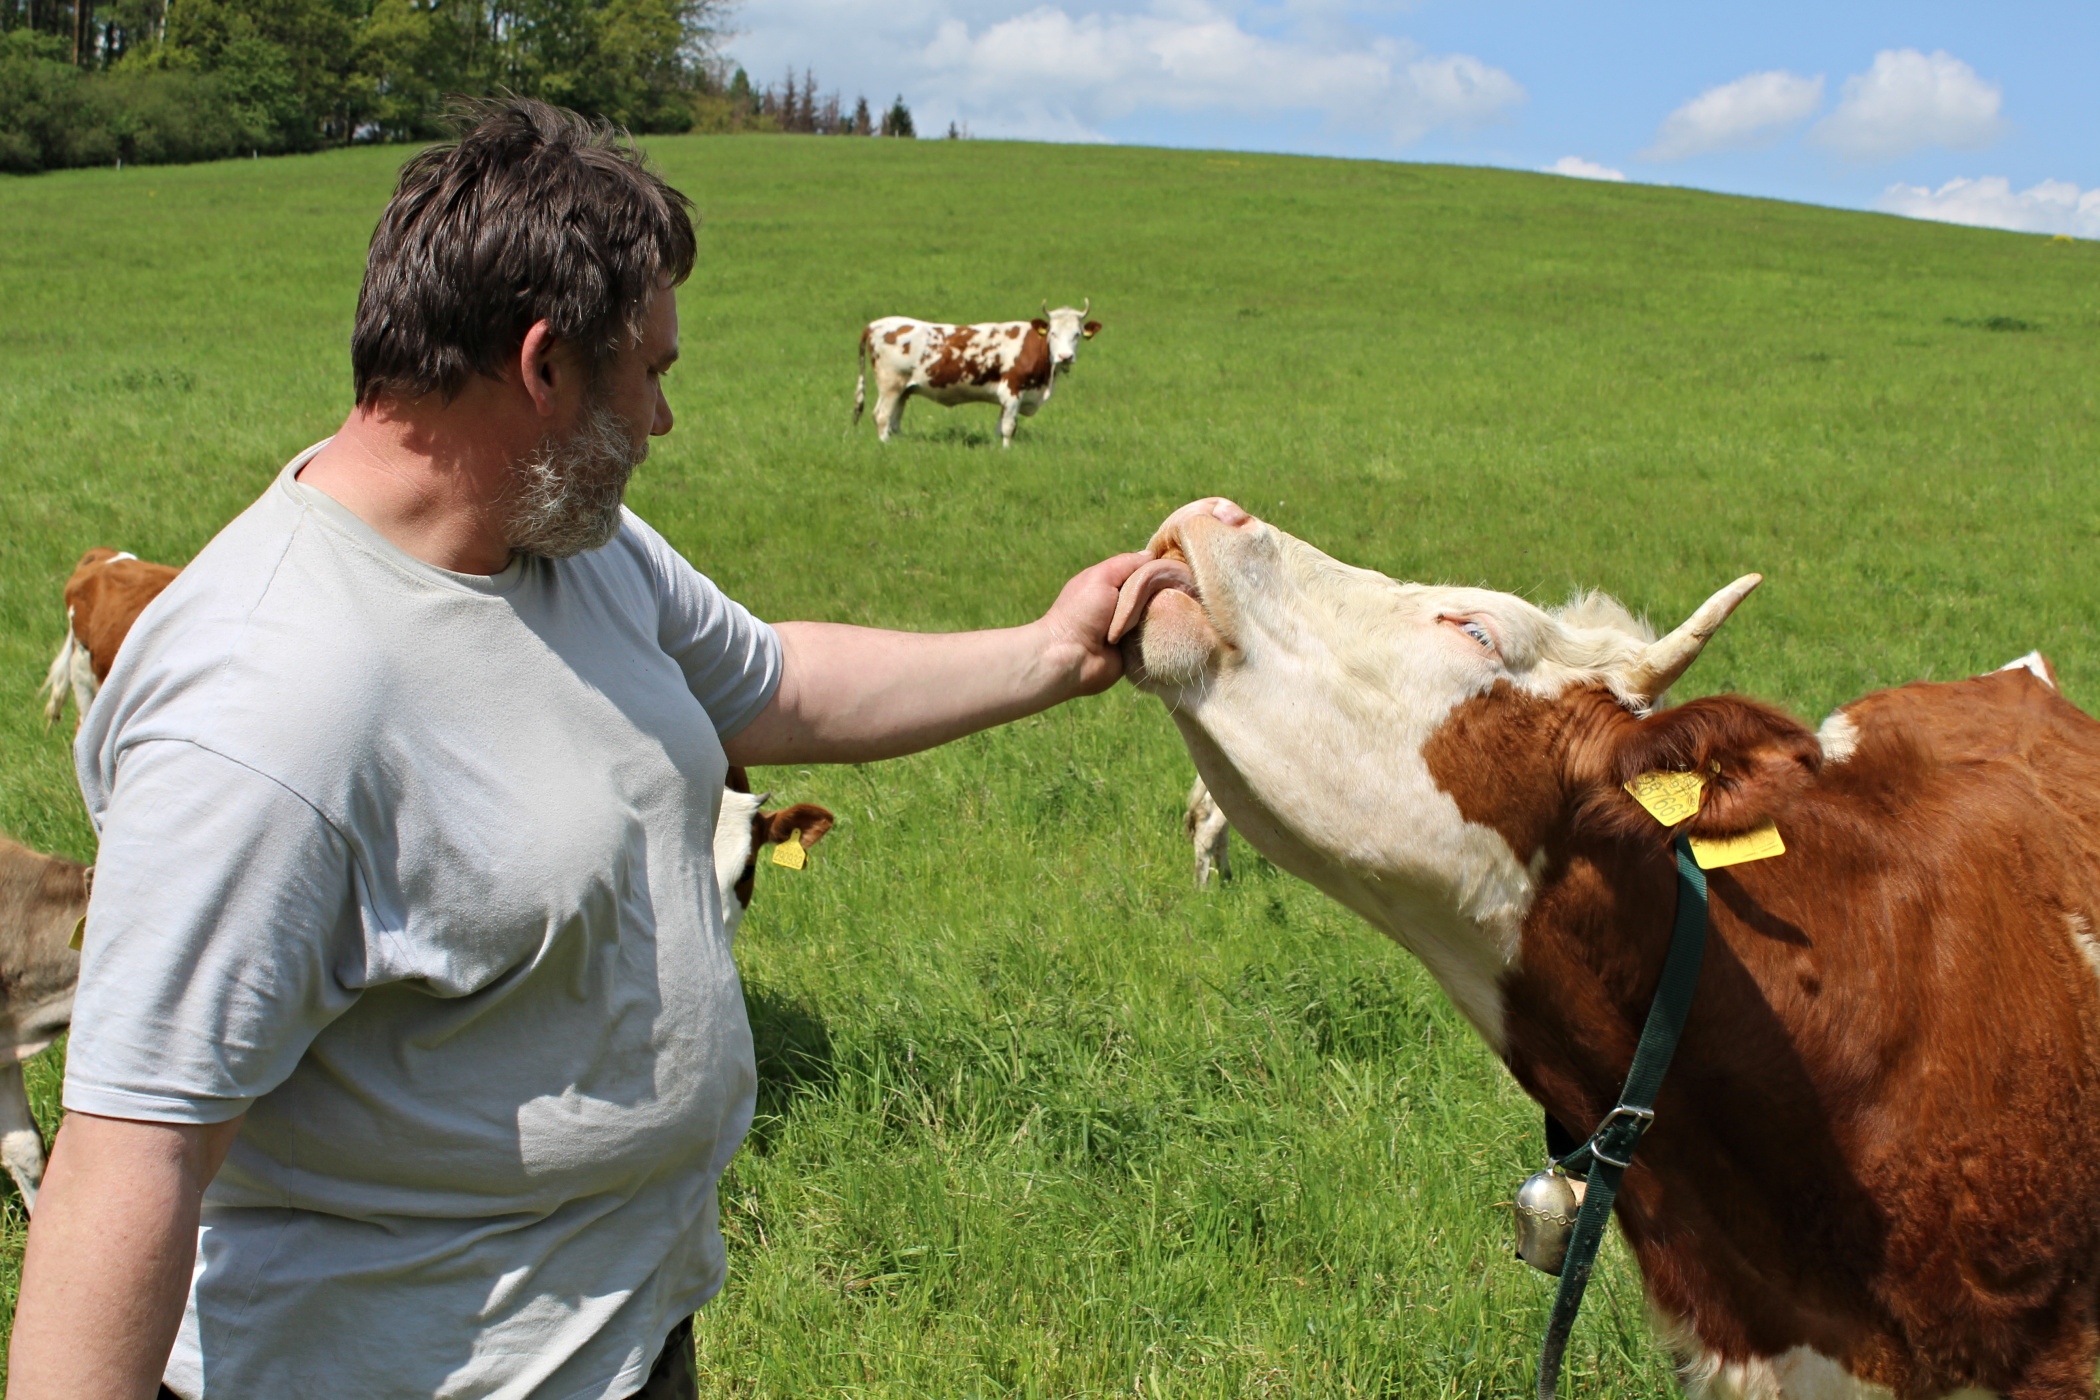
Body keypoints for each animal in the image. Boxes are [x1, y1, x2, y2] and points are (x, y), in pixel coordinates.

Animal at [853, 300, 1101, 447]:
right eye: (1053, 333)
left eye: (1077, 334)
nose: (1065, 357)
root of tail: (875, 325)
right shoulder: (1013, 390)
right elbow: (1009, 427)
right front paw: (1007, 452)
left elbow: (1000, 428)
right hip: (890, 385)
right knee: (881, 416)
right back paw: (885, 446)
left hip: (903, 390)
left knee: (894, 421)